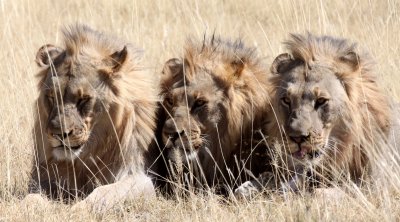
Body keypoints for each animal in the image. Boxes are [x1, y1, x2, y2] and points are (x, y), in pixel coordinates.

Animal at [28, 24, 159, 210]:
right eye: (52, 97)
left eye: (83, 99)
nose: (59, 134)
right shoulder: (44, 177)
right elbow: (31, 196)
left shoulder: (141, 177)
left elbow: (104, 192)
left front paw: (77, 209)